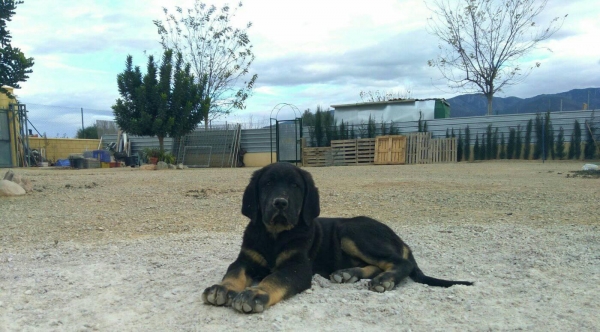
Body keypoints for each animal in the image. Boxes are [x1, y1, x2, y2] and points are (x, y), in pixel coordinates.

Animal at [203, 163, 474, 314]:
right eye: (267, 184)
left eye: (295, 186)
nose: (280, 203)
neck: (275, 235)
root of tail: (398, 238)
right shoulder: (244, 260)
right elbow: (233, 274)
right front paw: (222, 288)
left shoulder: (298, 267)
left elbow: (275, 278)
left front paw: (255, 294)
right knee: (378, 264)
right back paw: (348, 273)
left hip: (351, 231)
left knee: (400, 262)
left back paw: (384, 280)